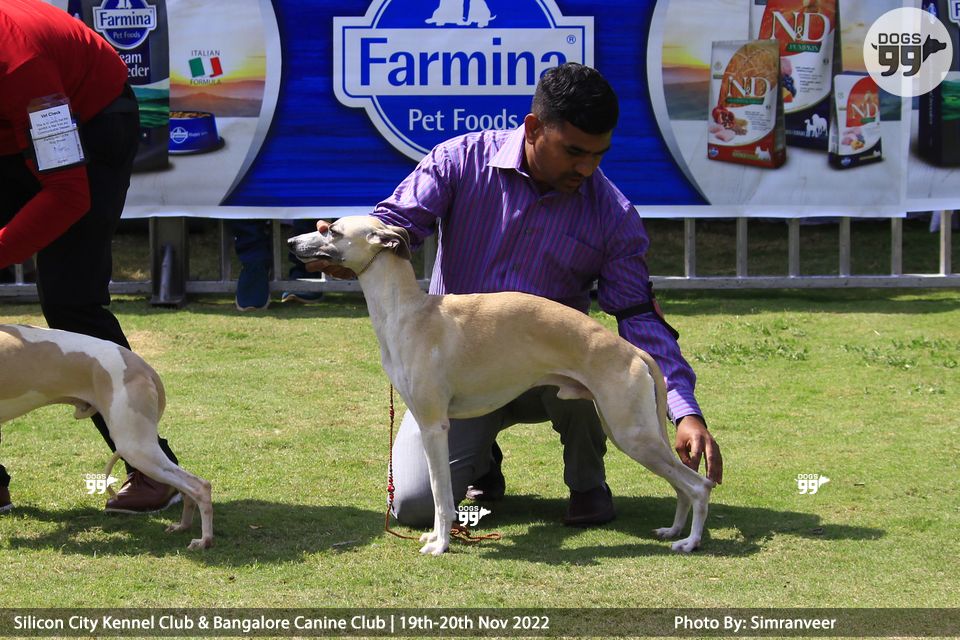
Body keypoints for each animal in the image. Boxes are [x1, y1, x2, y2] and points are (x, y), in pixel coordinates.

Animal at [0, 325, 213, 550]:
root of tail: (145, 368)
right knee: (188, 489)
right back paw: (183, 525)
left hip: (134, 446)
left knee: (200, 486)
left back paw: (204, 540)